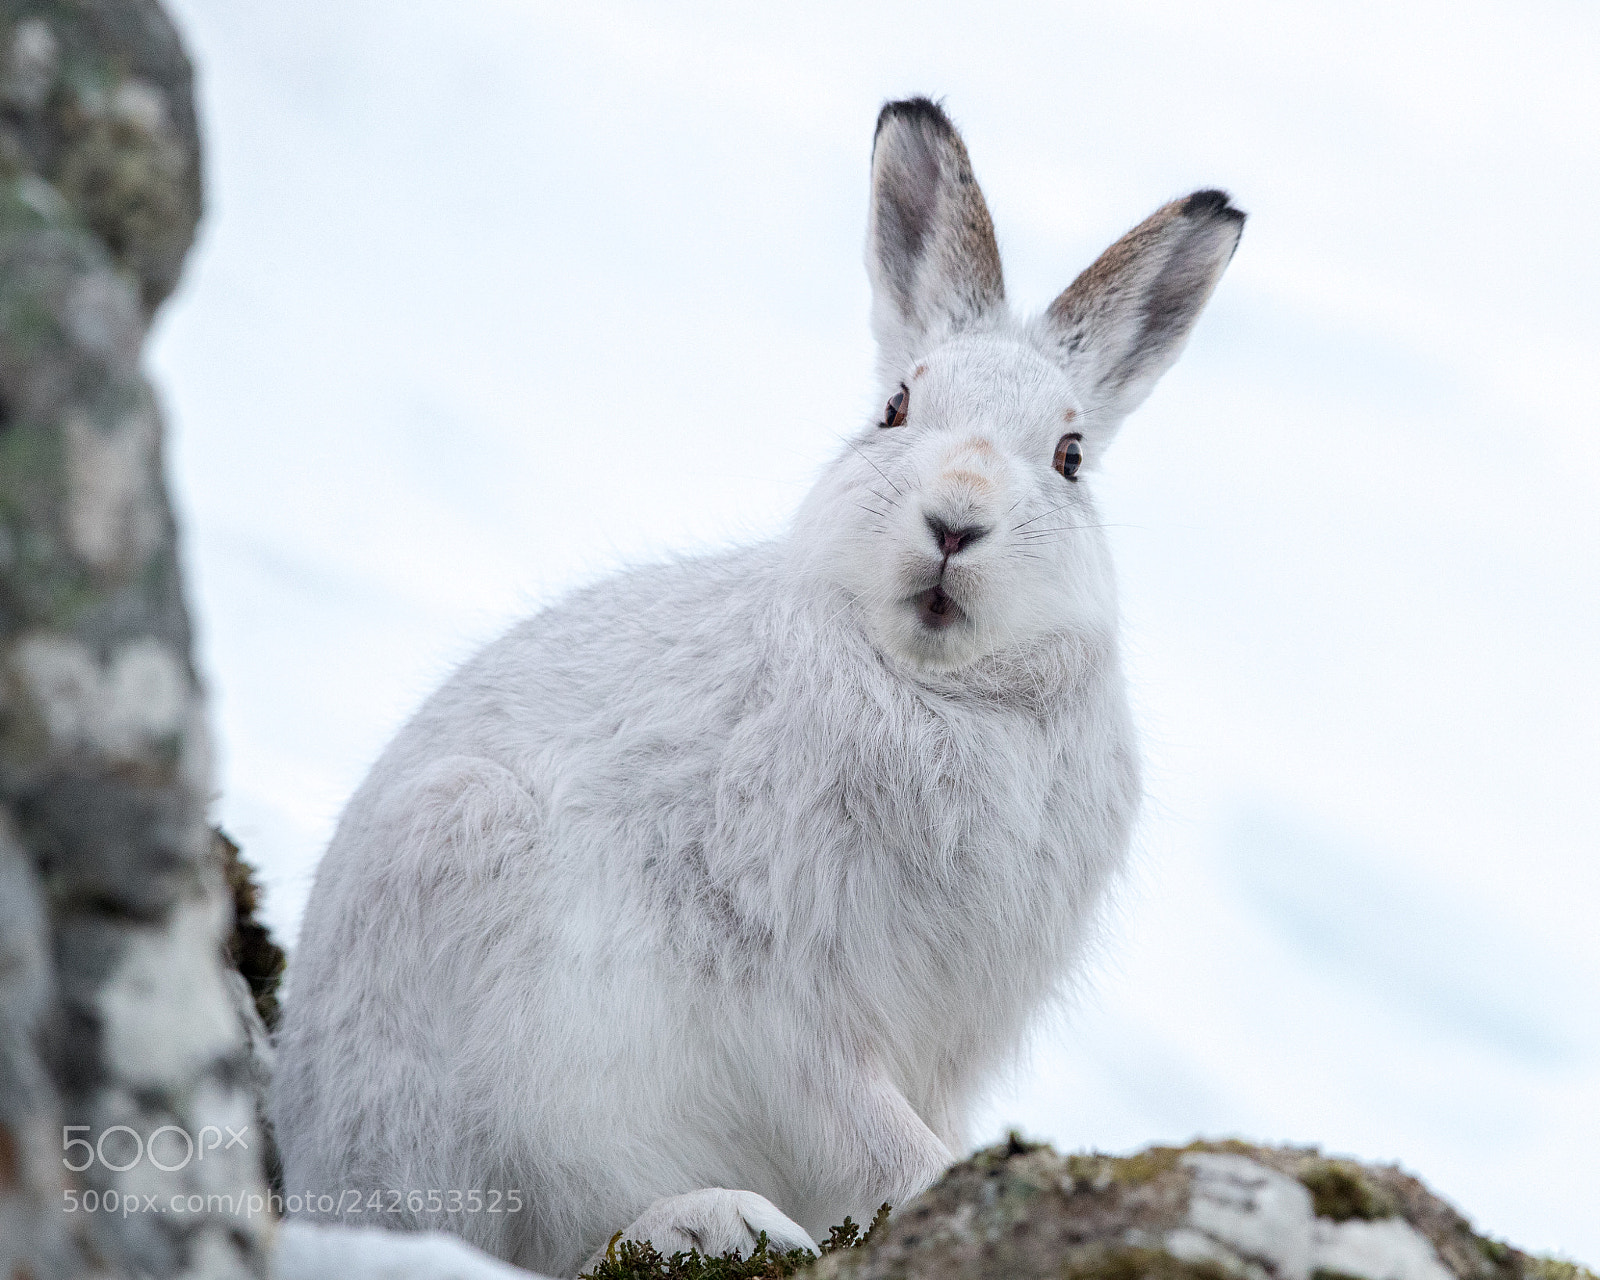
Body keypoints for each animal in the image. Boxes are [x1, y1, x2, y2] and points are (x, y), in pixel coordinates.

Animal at [269, 96, 1244, 1278]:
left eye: (1069, 456)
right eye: (894, 408)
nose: (956, 519)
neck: (934, 694)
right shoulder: (787, 992)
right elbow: (868, 1125)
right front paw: (943, 1180)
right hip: (448, 897)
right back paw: (712, 1218)